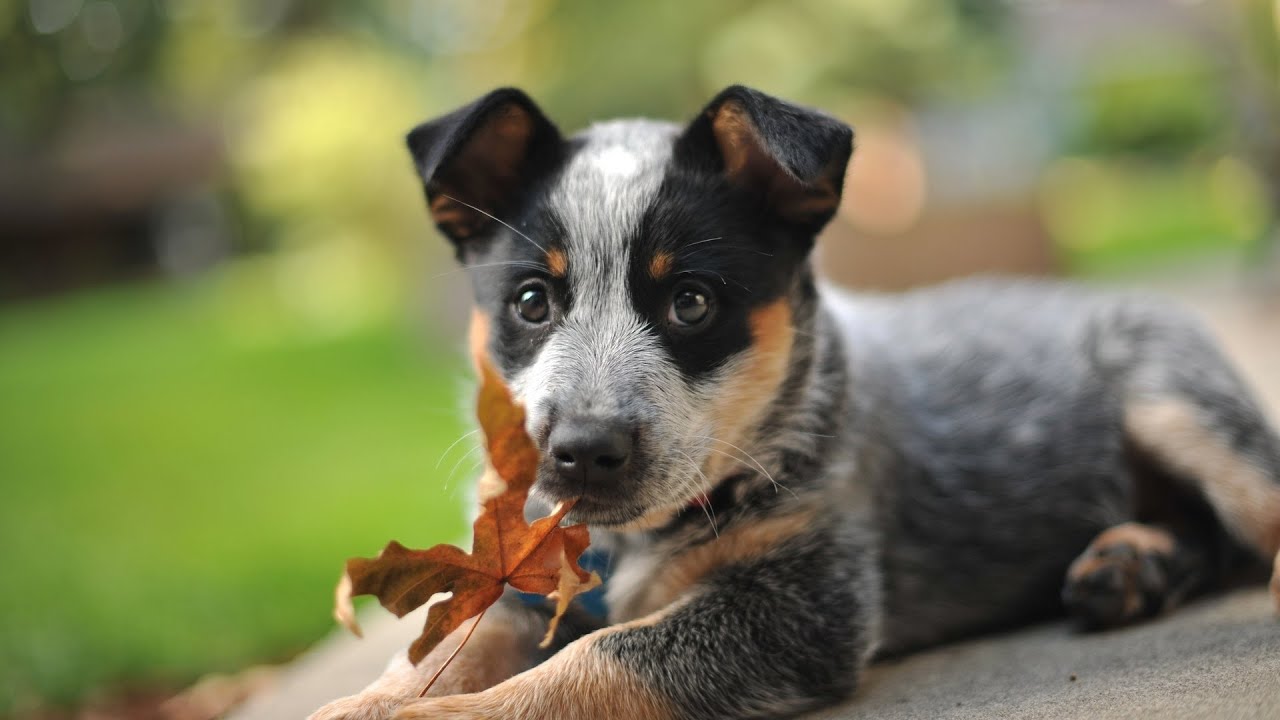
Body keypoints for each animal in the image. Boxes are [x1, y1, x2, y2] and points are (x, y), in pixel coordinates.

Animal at [312, 85, 1280, 717]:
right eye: (530, 302)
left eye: (691, 301)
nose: (580, 451)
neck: (625, 548)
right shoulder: (516, 589)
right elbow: (430, 656)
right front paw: (358, 706)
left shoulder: (803, 605)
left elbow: (595, 659)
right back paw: (1130, 565)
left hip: (1175, 398)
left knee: (1249, 518)